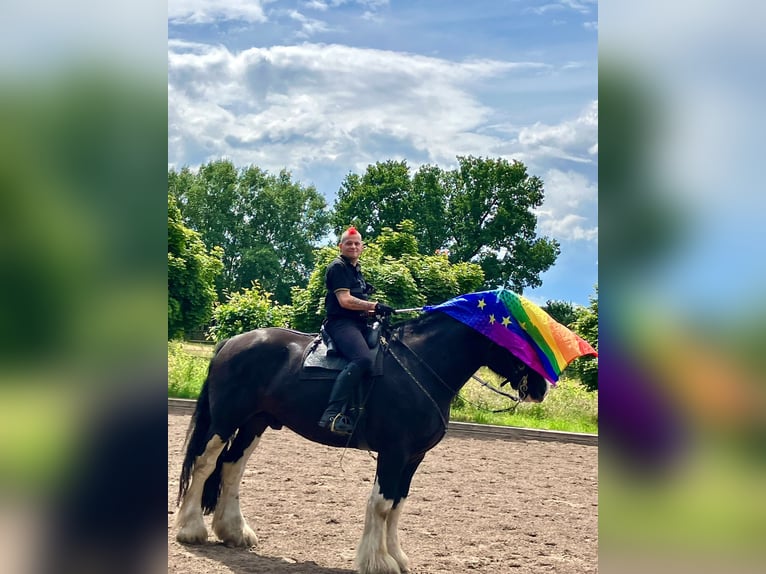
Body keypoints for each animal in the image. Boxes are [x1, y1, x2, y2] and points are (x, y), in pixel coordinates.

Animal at [176, 310, 544, 574]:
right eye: (520, 339)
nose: (540, 388)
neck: (420, 366)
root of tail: (232, 342)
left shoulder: (413, 458)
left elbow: (398, 504)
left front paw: (397, 557)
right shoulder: (394, 452)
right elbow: (382, 504)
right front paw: (378, 561)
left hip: (255, 422)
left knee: (231, 468)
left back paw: (234, 532)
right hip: (225, 421)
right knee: (205, 463)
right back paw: (191, 529)